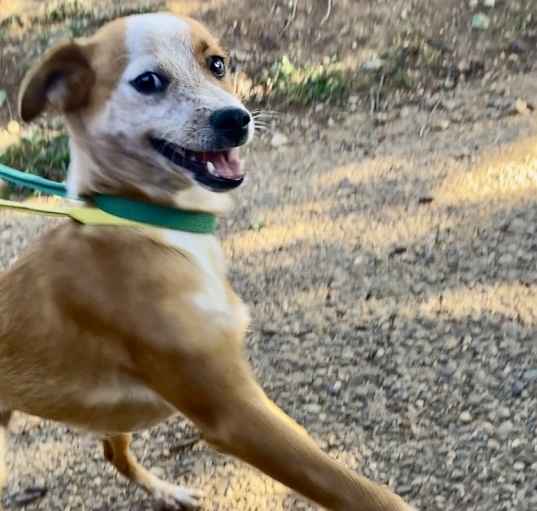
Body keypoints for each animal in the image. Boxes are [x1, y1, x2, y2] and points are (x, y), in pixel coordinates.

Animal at [0, 12, 414, 511]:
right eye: (148, 81)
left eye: (217, 64)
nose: (237, 119)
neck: (143, 222)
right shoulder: (233, 413)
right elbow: (365, 492)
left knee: (112, 450)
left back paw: (169, 492)